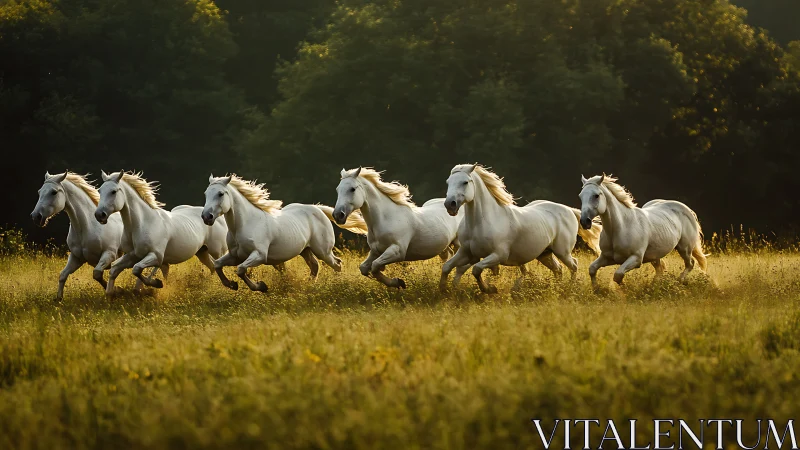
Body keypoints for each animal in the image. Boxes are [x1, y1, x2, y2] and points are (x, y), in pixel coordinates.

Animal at [94, 171, 228, 295]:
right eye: (100, 191)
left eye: (113, 191)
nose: (99, 215)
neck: (143, 223)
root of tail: (215, 216)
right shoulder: (133, 255)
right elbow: (114, 269)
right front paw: (111, 293)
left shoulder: (156, 256)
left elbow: (137, 269)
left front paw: (157, 283)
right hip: (202, 252)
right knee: (213, 267)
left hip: (218, 251)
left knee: (219, 266)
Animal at [201, 174, 368, 292]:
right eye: (206, 193)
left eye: (220, 194)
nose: (206, 216)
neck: (246, 223)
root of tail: (317, 208)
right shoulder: (235, 256)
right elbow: (218, 265)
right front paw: (231, 284)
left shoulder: (259, 255)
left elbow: (241, 270)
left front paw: (261, 287)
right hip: (305, 250)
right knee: (315, 266)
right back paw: (307, 285)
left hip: (323, 251)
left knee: (336, 264)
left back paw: (336, 283)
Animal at [333, 167, 466, 289]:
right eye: (338, 189)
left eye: (352, 189)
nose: (338, 215)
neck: (386, 219)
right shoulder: (376, 251)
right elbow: (364, 268)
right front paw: (397, 282)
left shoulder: (397, 251)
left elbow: (375, 266)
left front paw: (399, 282)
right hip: (444, 247)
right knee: (449, 257)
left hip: (459, 243)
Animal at [441, 164, 602, 294]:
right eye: (448, 182)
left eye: (465, 182)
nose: (450, 205)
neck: (481, 222)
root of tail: (569, 210)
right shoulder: (467, 253)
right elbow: (447, 267)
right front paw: (443, 291)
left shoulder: (498, 255)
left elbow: (476, 270)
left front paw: (490, 289)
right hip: (545, 254)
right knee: (558, 269)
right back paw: (556, 288)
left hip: (562, 251)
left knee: (573, 265)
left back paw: (569, 288)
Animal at [578, 174, 707, 288]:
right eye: (580, 196)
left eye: (596, 195)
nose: (585, 221)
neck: (621, 227)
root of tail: (687, 209)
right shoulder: (607, 257)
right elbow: (592, 269)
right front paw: (597, 290)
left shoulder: (636, 258)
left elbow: (618, 275)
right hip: (655, 256)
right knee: (660, 269)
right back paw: (654, 286)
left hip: (684, 248)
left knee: (690, 264)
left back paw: (678, 282)